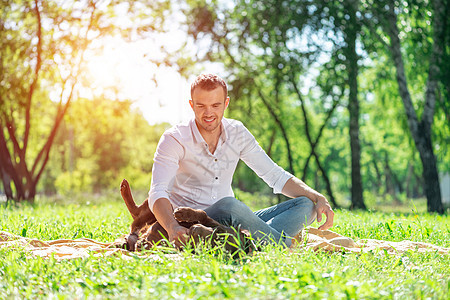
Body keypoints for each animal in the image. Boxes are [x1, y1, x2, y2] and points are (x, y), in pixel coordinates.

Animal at [118, 179, 255, 254]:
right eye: (219, 231)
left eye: (213, 246)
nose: (195, 230)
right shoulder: (213, 222)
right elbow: (203, 214)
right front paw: (184, 213)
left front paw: (150, 244)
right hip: (159, 205)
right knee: (139, 212)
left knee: (136, 219)